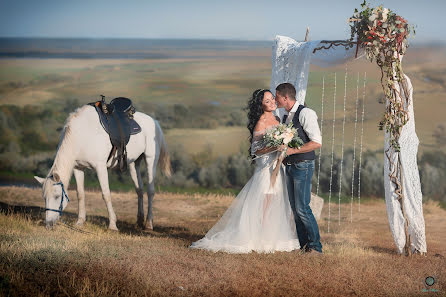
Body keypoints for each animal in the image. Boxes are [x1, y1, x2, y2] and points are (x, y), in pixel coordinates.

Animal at [34, 104, 171, 229]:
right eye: (44, 197)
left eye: (57, 196)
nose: (49, 224)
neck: (82, 134)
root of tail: (154, 122)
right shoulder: (78, 168)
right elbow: (80, 194)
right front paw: (80, 222)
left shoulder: (100, 168)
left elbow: (106, 194)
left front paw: (112, 225)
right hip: (133, 163)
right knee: (140, 190)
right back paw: (139, 220)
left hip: (150, 160)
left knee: (150, 191)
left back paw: (149, 223)